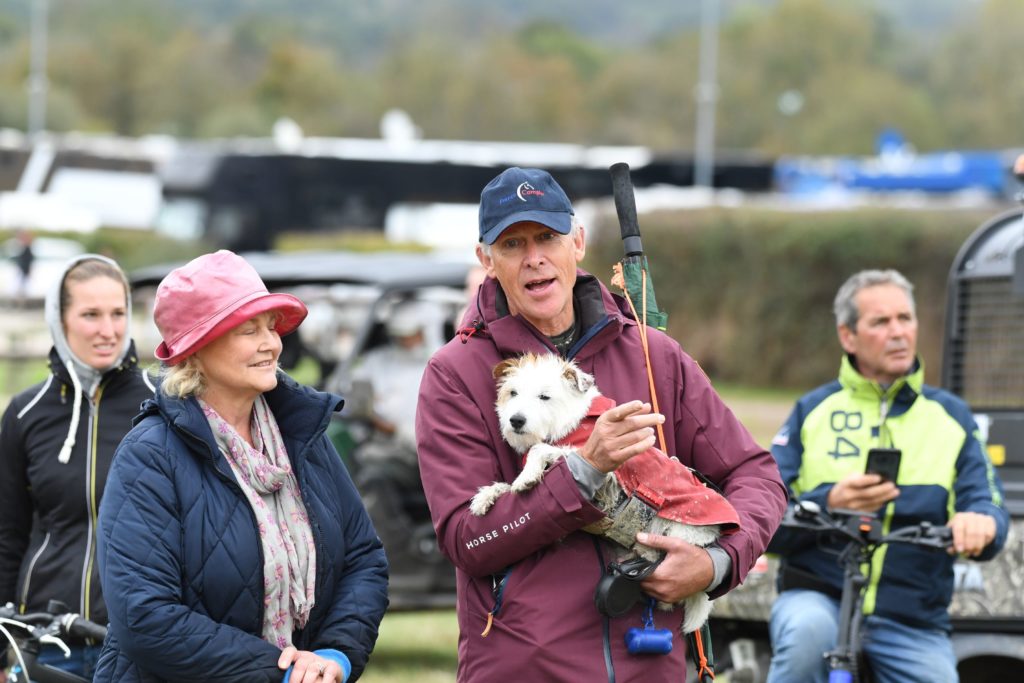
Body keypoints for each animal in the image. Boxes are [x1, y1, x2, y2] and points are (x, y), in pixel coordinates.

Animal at [471, 356, 737, 634]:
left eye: (544, 396)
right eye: (513, 393)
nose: (516, 420)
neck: (571, 422)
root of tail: (712, 537)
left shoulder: (601, 470)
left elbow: (540, 451)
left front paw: (526, 476)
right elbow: (509, 485)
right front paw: (486, 496)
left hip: (679, 529)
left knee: (658, 556)